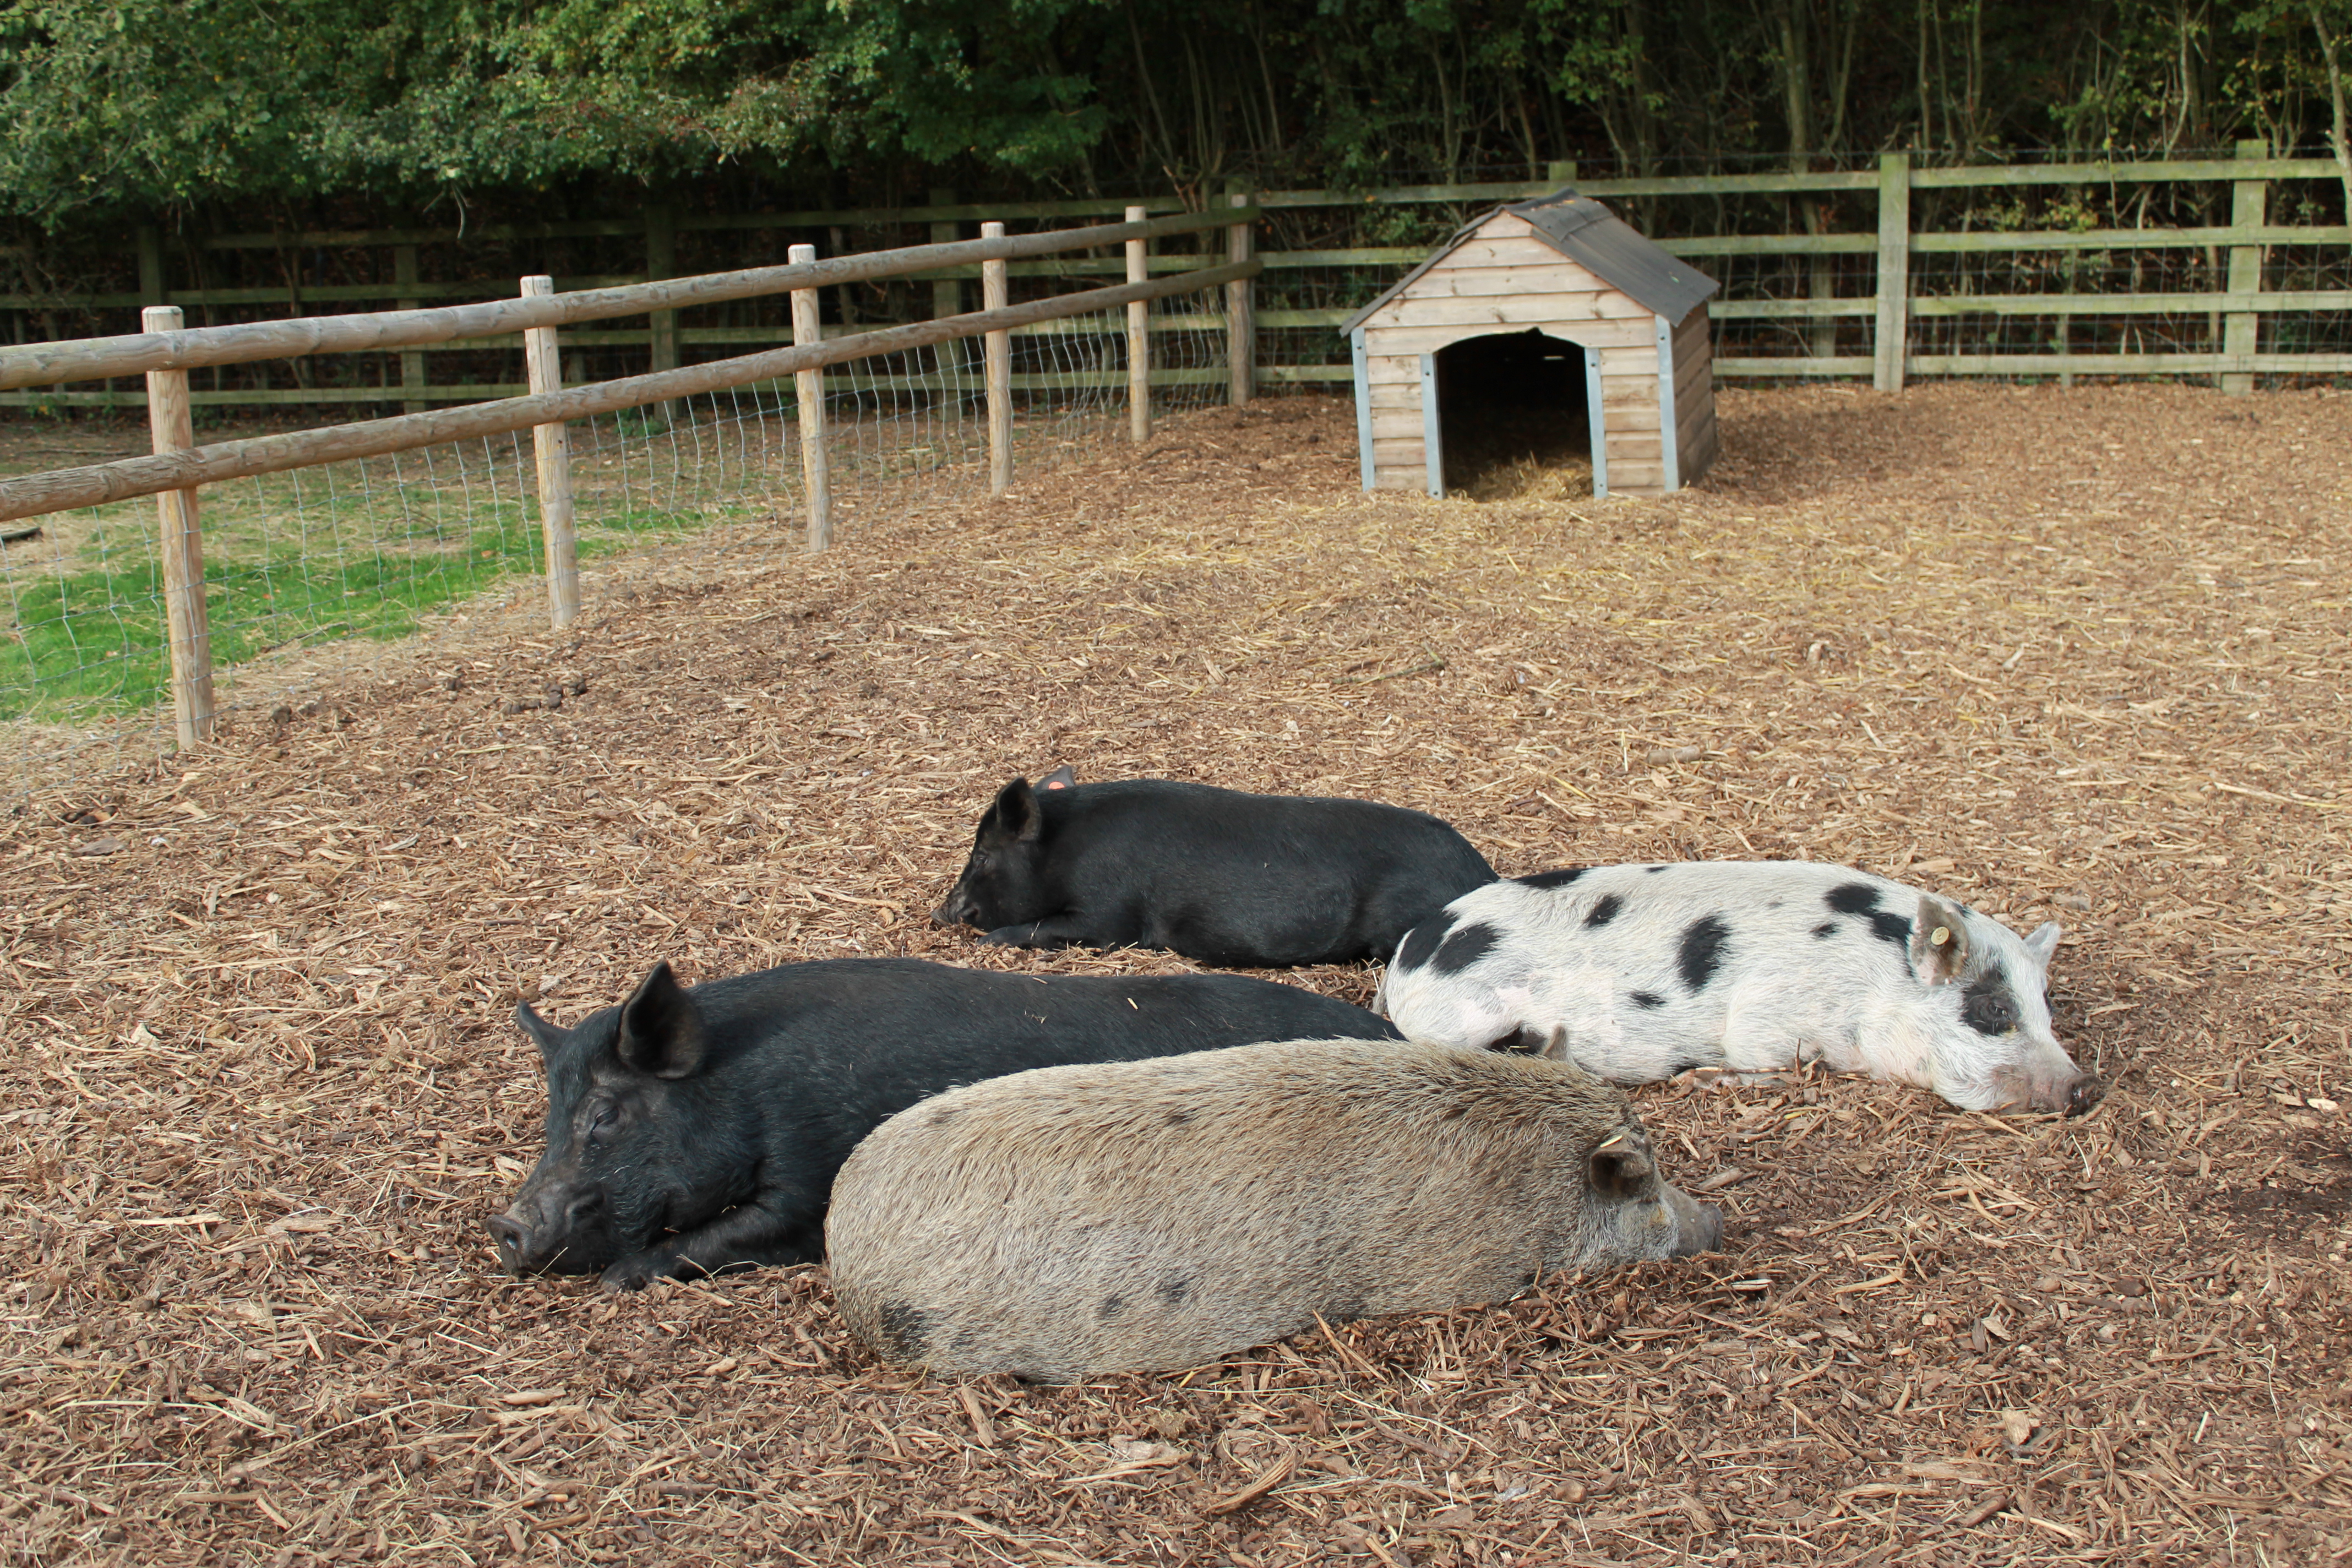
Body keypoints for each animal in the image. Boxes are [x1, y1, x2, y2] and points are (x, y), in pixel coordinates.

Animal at [487, 957, 1402, 1290]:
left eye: (605, 1114)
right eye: (549, 1118)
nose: (505, 1225)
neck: (741, 1082)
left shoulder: (809, 1173)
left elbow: (734, 1233)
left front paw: (620, 1278)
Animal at [932, 766, 1498, 967]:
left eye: (983, 855)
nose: (941, 912)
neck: (1063, 851)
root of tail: (1484, 875)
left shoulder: (1109, 914)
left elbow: (1058, 928)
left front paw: (991, 943)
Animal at [1377, 861, 2098, 1115]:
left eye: (2047, 1011)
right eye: (1994, 1008)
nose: (2088, 1086)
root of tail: (1412, 950)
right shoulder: (1765, 1015)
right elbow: (1772, 1061)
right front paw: (1703, 1079)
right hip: (1461, 1015)